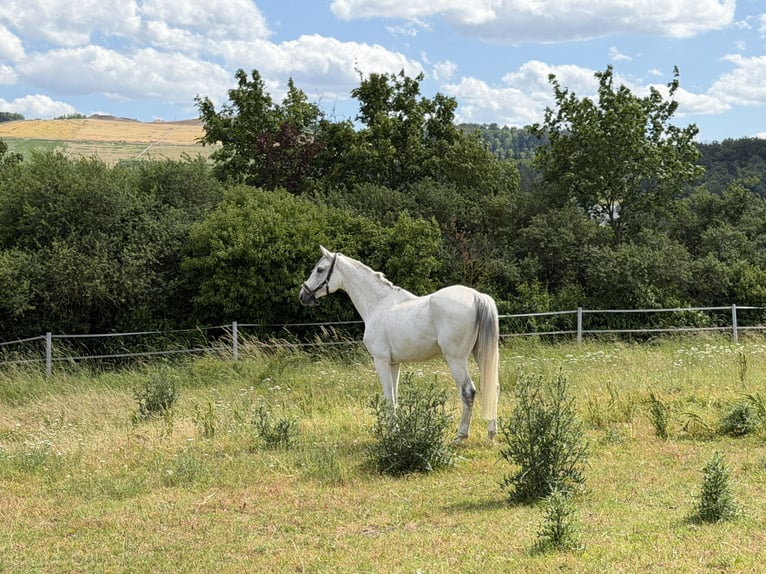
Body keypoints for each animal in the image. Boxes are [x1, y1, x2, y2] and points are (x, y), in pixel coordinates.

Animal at [299, 246, 500, 440]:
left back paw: (460, 436)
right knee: (493, 386)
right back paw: (491, 434)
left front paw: (391, 434)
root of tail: (477, 297)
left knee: (468, 391)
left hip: (456, 359)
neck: (378, 304)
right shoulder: (394, 364)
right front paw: (396, 431)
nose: (303, 295)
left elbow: (389, 397)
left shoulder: (380, 361)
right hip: (481, 354)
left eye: (320, 269)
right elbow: (395, 398)